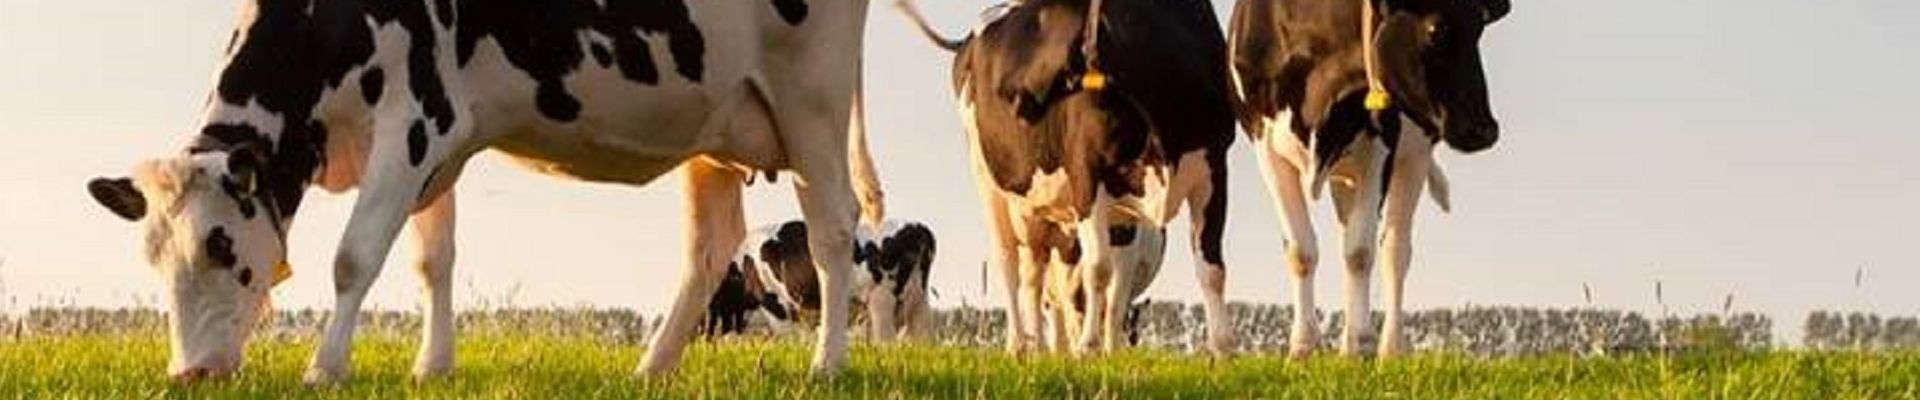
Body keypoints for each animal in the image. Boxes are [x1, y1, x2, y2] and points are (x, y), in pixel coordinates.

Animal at [83, 0, 876, 383]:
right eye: (153, 259)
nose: (189, 373)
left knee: (834, 231)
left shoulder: (414, 119)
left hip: (812, 98)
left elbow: (355, 256)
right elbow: (432, 259)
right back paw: (651, 368)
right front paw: (431, 367)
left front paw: (323, 367)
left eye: (223, 249)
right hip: (717, 127)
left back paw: (827, 366)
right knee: (709, 250)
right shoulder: (440, 141)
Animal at [897, 0, 1238, 355]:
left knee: (1035, 275)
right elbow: (1097, 270)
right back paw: (1018, 344)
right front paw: (1087, 347)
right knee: (1008, 263)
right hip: (988, 182)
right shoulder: (1087, 175)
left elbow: (1210, 269)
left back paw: (1037, 348)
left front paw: (1223, 348)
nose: (1007, 94)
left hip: (1038, 210)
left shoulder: (1213, 173)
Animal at [1227, 0, 1508, 357]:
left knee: (1394, 251)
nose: (1484, 130)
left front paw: (1360, 345)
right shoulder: (1264, 143)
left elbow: (1360, 252)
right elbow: (1301, 250)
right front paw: (1304, 348)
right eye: (1435, 29)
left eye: (1481, 26)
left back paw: (1390, 349)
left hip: (1414, 155)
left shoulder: (1380, 146)